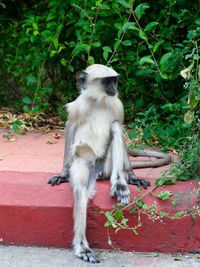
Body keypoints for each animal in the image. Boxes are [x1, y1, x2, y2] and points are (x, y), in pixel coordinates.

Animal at [47, 63, 170, 264]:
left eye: (114, 80)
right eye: (107, 81)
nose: (114, 88)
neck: (98, 100)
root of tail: (99, 170)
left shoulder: (118, 105)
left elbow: (119, 125)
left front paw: (132, 177)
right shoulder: (77, 107)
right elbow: (70, 127)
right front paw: (63, 174)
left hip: (107, 164)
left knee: (115, 128)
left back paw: (120, 182)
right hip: (87, 163)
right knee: (81, 189)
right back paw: (83, 248)